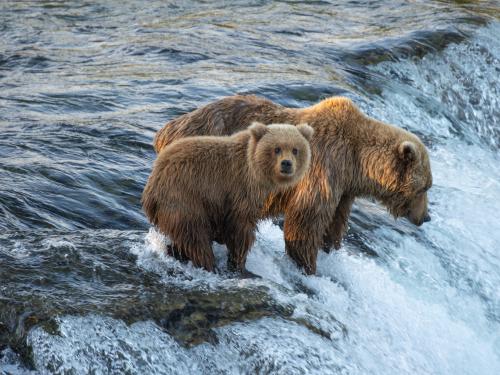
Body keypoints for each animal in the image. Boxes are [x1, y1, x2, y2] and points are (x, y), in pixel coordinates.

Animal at [142, 122, 312, 274]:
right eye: (277, 149)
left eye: (295, 150)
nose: (286, 163)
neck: (257, 172)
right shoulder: (239, 188)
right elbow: (240, 229)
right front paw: (239, 262)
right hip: (183, 198)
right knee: (196, 237)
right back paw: (209, 264)